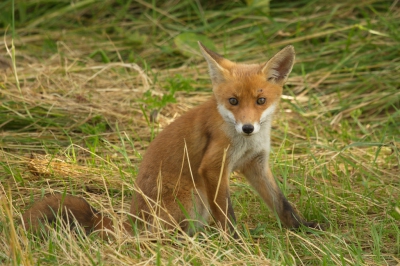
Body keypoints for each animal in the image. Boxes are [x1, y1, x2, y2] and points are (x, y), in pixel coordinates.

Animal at [23, 42, 320, 239]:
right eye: (233, 101)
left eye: (261, 101)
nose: (247, 127)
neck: (245, 143)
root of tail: (131, 220)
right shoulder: (213, 168)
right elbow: (226, 213)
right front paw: (235, 240)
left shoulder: (255, 164)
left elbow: (282, 203)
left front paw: (302, 228)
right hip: (192, 196)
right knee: (163, 235)